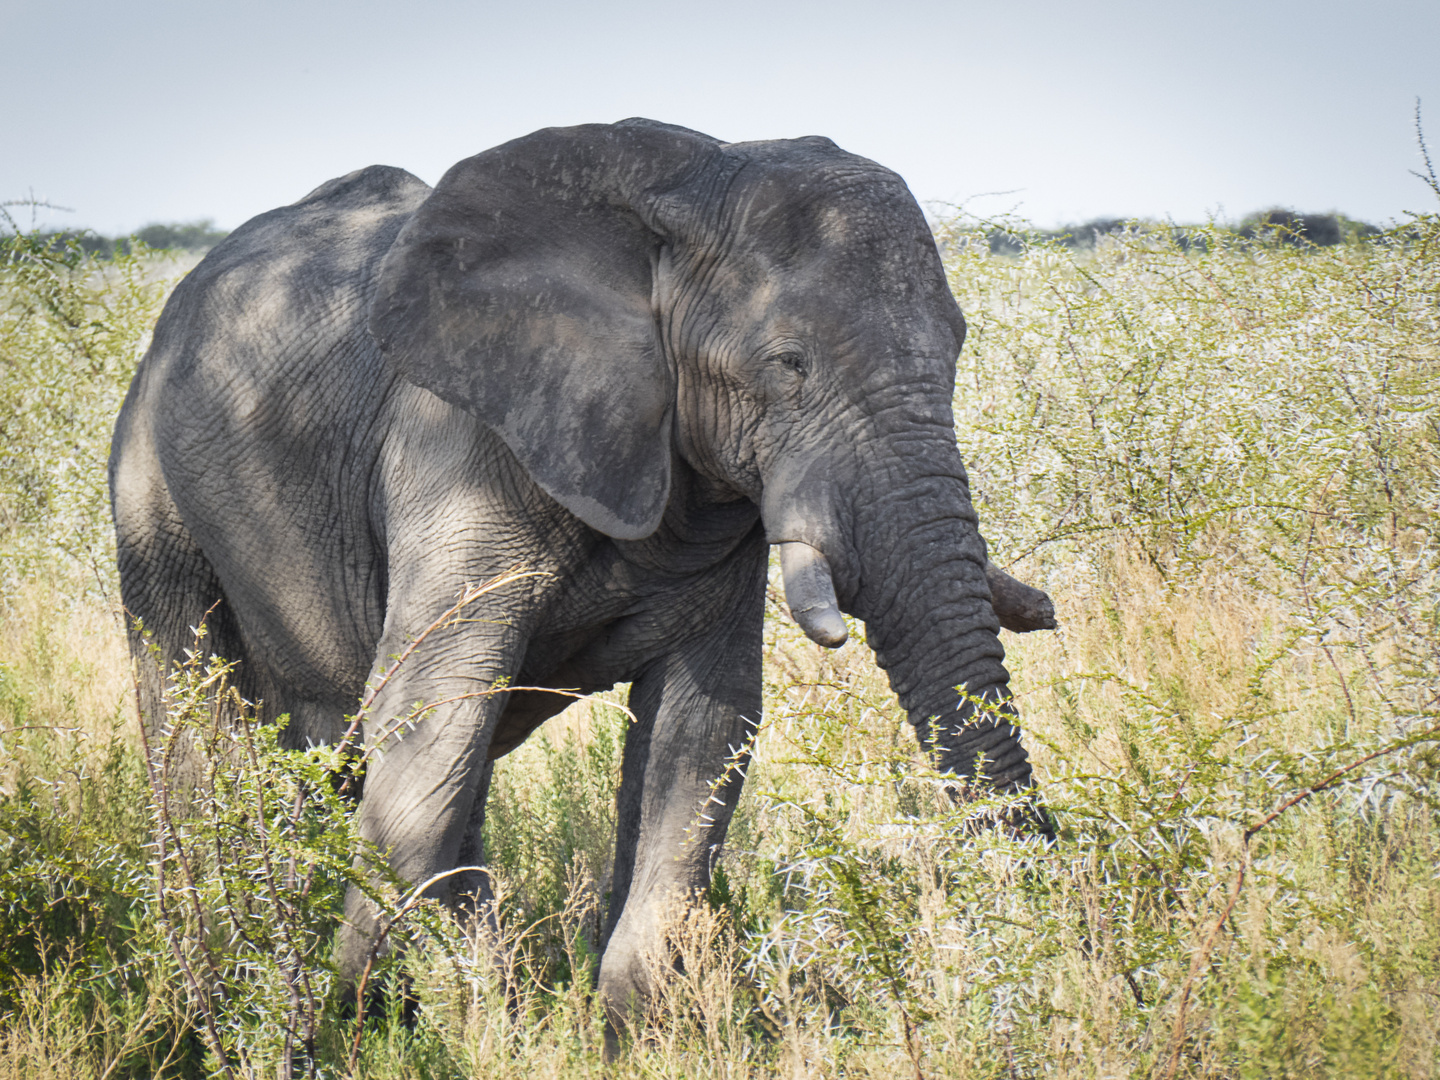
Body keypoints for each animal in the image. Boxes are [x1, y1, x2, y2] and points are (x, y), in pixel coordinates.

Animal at [109, 116, 1059, 1031]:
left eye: (959, 345)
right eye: (789, 364)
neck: (685, 187)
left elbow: (701, 730)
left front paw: (622, 1036)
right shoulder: (458, 444)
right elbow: (429, 711)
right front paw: (356, 1019)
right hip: (147, 483)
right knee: (197, 723)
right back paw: (225, 989)